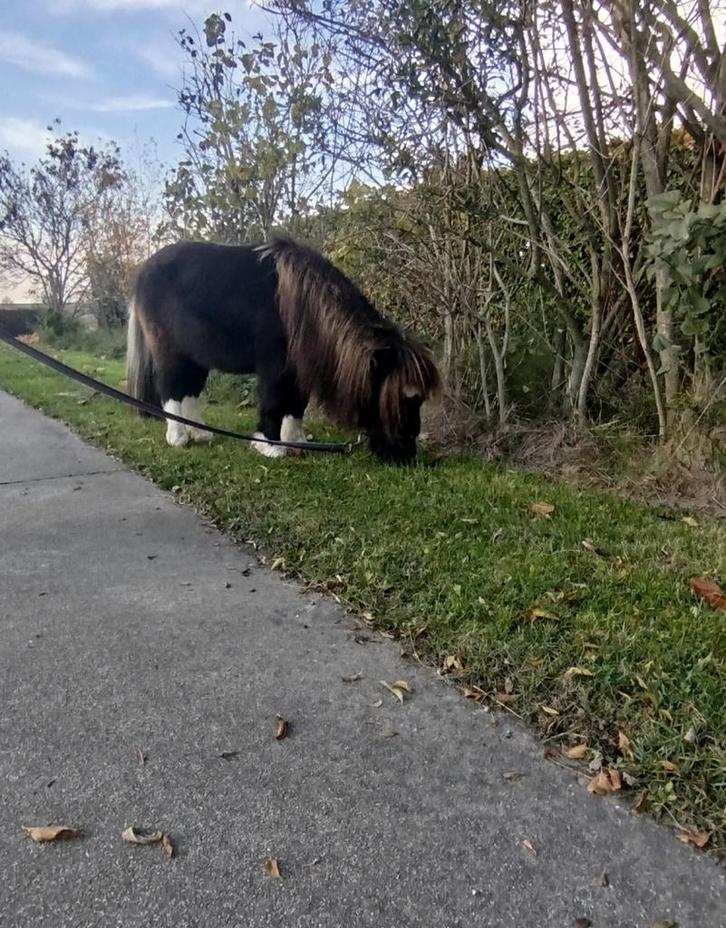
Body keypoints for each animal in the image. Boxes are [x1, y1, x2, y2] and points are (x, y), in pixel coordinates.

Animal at [126, 237, 441, 464]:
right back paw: (178, 437)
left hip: (196, 357)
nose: (405, 456)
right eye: (405, 399)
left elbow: (296, 405)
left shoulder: (298, 368)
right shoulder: (275, 368)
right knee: (171, 390)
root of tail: (143, 270)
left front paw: (295, 441)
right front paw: (270, 447)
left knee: (189, 391)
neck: (305, 306)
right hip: (170, 352)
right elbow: (274, 403)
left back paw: (201, 434)